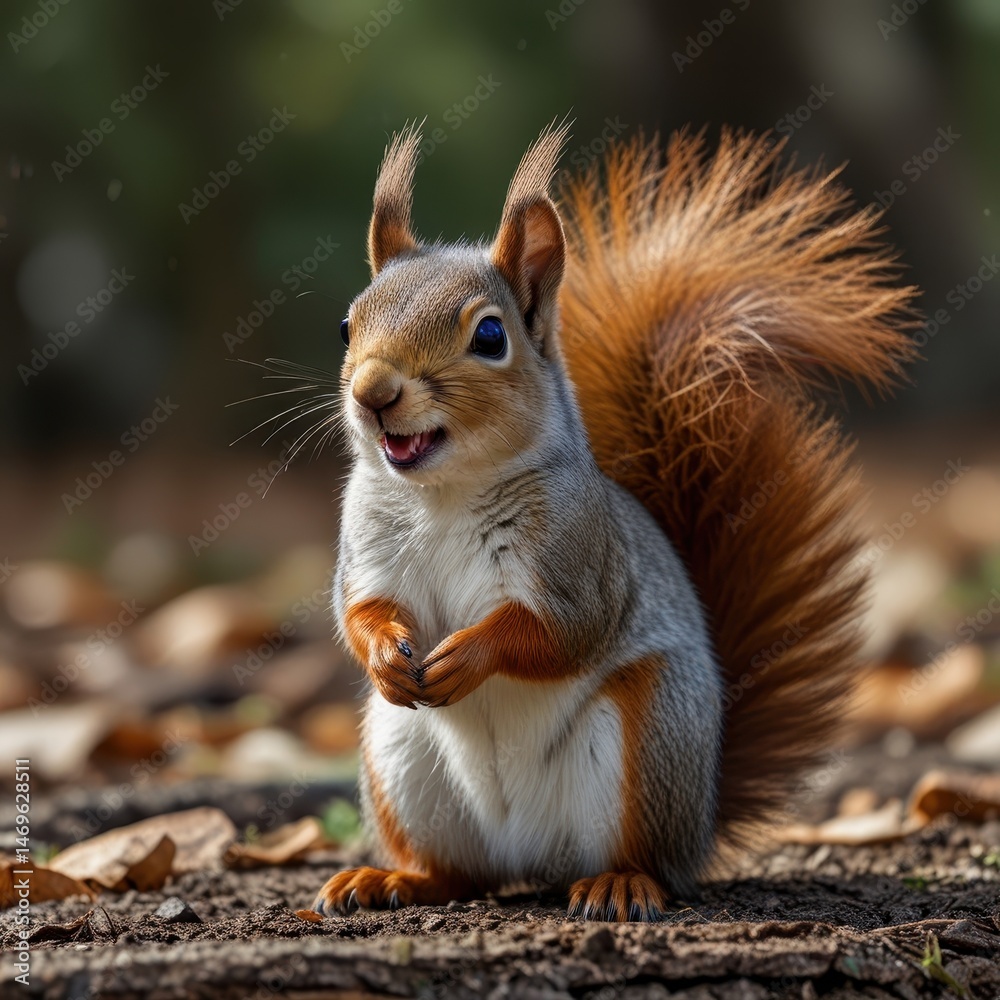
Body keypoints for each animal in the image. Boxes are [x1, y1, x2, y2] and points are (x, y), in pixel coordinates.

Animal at [312, 121, 917, 921]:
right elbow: (360, 614)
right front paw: (386, 652)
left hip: (648, 732)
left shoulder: (579, 559)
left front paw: (468, 655)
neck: (444, 495)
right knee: (458, 874)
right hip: (399, 750)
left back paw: (621, 883)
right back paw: (391, 880)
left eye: (490, 337)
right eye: (347, 324)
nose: (374, 391)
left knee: (642, 856)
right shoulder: (367, 550)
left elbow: (557, 634)